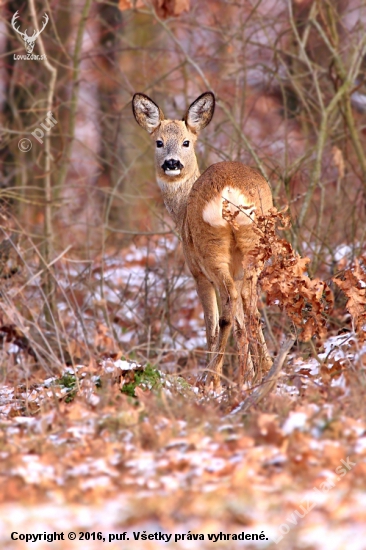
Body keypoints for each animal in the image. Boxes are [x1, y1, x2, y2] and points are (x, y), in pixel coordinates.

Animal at [133, 91, 274, 392]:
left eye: (186, 142)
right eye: (159, 142)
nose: (171, 163)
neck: (181, 211)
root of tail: (230, 192)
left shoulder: (197, 272)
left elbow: (211, 324)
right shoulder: (237, 271)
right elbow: (242, 321)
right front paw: (250, 375)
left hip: (211, 247)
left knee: (226, 310)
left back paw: (211, 377)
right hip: (253, 244)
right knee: (249, 304)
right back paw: (263, 372)